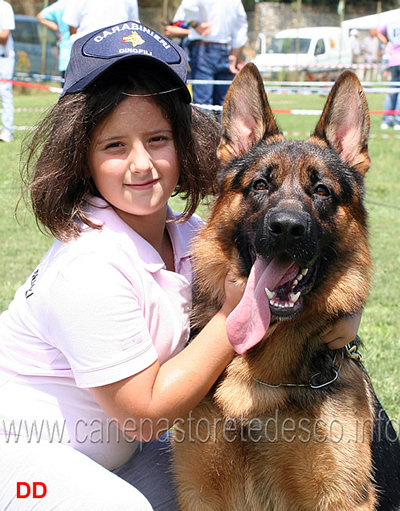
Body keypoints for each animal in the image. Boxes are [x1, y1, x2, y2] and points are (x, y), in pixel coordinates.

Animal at [173, 65, 400, 511]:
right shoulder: (201, 493)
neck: (258, 380)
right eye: (261, 185)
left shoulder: (340, 498)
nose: (287, 228)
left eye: (322, 190)